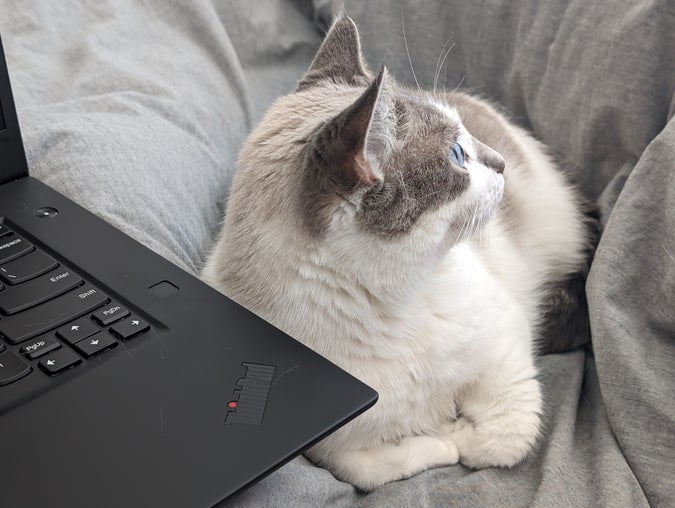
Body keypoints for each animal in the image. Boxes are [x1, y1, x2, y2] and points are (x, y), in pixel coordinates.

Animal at [202, 15, 596, 492]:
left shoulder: (506, 347)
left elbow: (501, 440)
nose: (500, 161)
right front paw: (443, 435)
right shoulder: (332, 448)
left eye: (467, 139)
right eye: (457, 154)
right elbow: (372, 470)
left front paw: (456, 431)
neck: (393, 306)